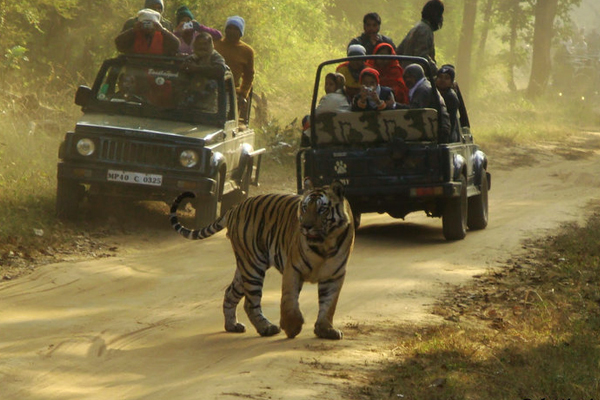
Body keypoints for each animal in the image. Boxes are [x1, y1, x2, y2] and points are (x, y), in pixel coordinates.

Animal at [169, 180, 354, 340]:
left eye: (322, 209)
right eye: (304, 208)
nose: (306, 227)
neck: (325, 244)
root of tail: (235, 207)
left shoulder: (335, 275)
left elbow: (329, 304)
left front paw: (326, 330)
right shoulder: (293, 268)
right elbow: (290, 299)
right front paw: (292, 327)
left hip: (244, 268)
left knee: (230, 292)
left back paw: (232, 325)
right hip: (253, 265)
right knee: (250, 303)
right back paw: (267, 328)